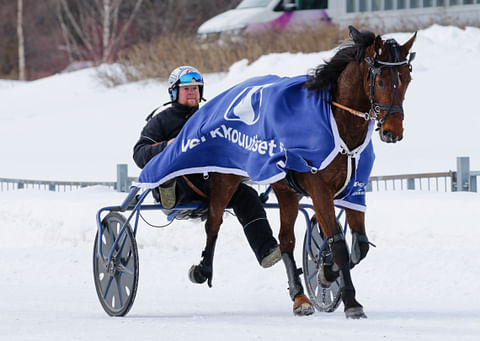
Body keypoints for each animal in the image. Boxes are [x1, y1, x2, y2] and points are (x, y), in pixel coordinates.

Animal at [188, 25, 416, 318]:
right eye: (382, 82)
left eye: (407, 77)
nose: (392, 132)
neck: (338, 124)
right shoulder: (319, 190)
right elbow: (339, 244)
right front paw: (350, 300)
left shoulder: (353, 189)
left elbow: (359, 246)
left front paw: (325, 272)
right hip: (225, 177)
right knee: (214, 221)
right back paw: (202, 269)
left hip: (286, 192)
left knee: (286, 240)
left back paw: (299, 297)